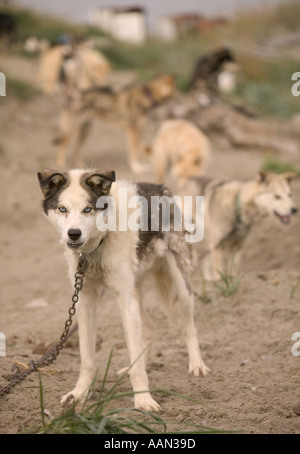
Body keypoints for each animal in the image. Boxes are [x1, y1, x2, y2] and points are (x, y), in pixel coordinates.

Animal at [37, 168, 210, 412]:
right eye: (63, 209)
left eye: (88, 209)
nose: (74, 233)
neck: (98, 245)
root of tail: (162, 189)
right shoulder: (85, 300)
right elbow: (87, 359)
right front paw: (79, 395)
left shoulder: (124, 300)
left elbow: (137, 361)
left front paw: (143, 400)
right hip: (135, 292)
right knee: (149, 328)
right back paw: (129, 368)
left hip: (179, 284)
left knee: (189, 326)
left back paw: (196, 364)